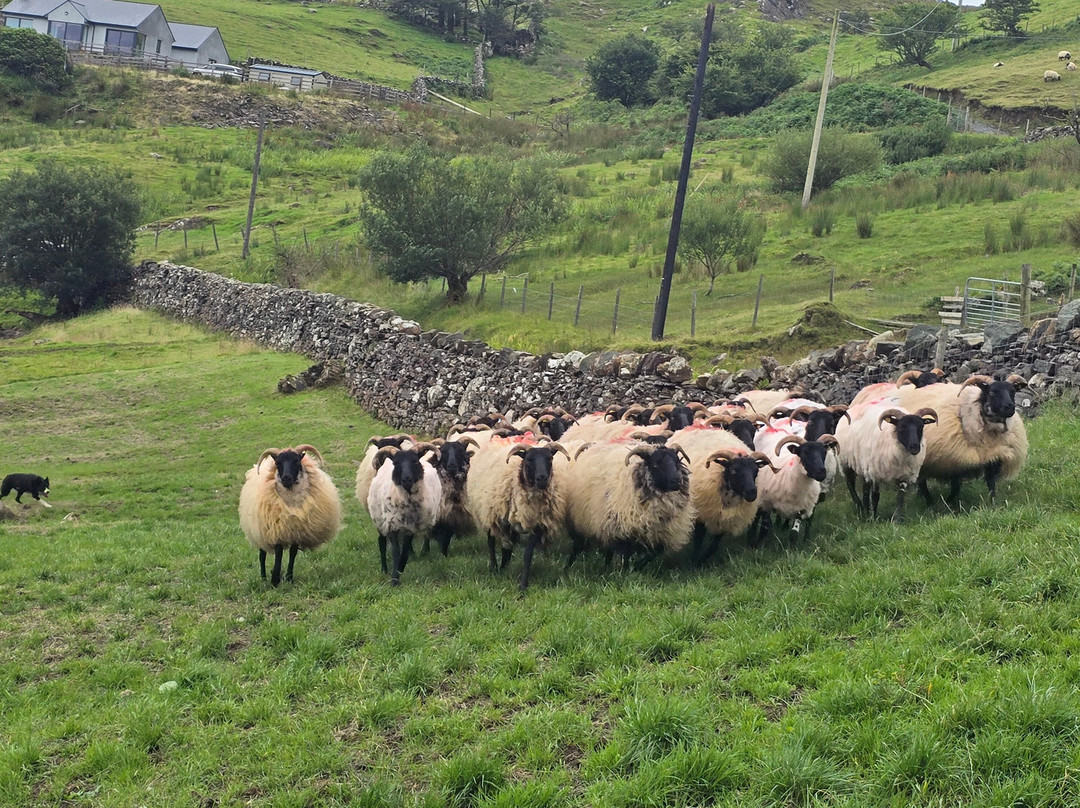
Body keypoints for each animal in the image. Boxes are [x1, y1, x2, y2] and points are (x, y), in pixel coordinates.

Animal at [239, 445, 342, 586]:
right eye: (277, 463)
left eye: (297, 461)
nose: (286, 478)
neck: (291, 505)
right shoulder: (276, 529)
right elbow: (278, 553)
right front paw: (275, 580)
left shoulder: (297, 530)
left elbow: (292, 553)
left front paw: (288, 577)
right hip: (259, 530)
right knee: (262, 554)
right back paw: (263, 578)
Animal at [366, 442, 442, 586]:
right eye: (396, 463)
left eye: (415, 461)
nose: (406, 479)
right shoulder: (392, 525)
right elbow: (396, 551)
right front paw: (394, 579)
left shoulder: (410, 529)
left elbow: (405, 552)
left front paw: (400, 570)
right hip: (380, 521)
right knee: (381, 542)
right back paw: (384, 569)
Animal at [465, 436, 571, 591]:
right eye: (528, 460)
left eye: (550, 459)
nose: (542, 478)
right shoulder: (503, 521)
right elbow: (503, 546)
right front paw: (501, 569)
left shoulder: (536, 524)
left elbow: (527, 555)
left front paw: (523, 585)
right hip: (490, 513)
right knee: (491, 541)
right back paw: (494, 567)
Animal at [562, 439, 694, 571]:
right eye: (655, 464)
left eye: (677, 461)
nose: (677, 481)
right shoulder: (623, 530)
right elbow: (626, 554)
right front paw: (625, 571)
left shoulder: (663, 534)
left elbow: (653, 553)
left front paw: (637, 566)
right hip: (585, 521)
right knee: (578, 547)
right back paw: (568, 567)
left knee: (608, 551)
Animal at [893, 374, 1028, 505]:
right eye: (992, 392)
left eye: (1012, 392)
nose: (1010, 407)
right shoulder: (955, 459)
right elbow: (955, 488)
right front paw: (947, 503)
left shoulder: (993, 456)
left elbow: (990, 483)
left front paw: (993, 503)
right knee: (922, 482)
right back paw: (929, 501)